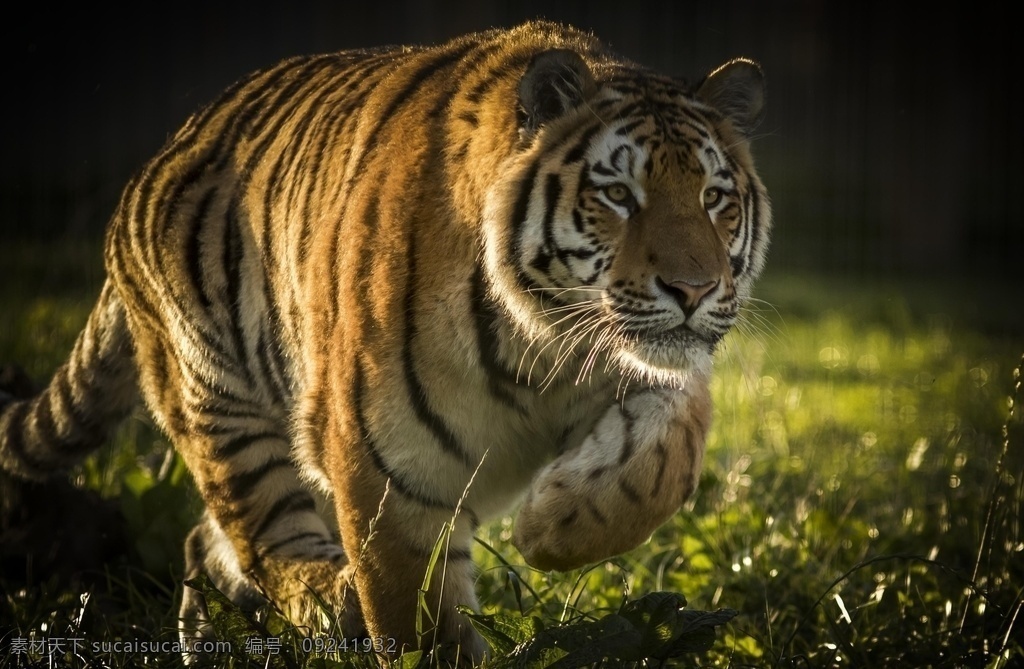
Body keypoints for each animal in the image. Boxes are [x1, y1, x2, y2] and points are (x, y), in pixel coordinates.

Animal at [0, 20, 770, 664]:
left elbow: (664, 465)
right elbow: (418, 618)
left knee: (204, 545)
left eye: (714, 198)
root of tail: (149, 166)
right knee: (262, 544)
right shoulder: (385, 467)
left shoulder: (653, 373)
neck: (544, 346)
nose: (694, 289)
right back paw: (329, 601)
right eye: (617, 195)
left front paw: (549, 526)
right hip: (220, 401)